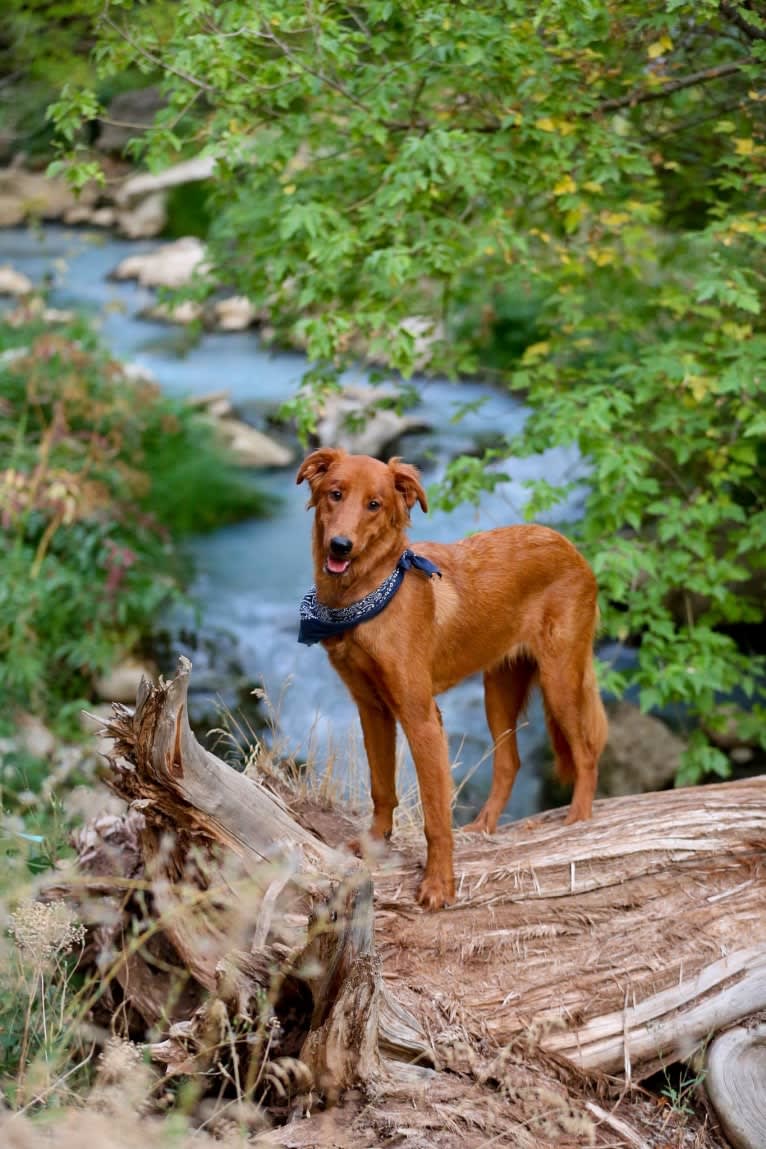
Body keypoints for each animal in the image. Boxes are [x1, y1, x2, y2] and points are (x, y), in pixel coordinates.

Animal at [296, 448, 606, 905]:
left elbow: (435, 814)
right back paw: (484, 827)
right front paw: (374, 845)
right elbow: (381, 787)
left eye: (375, 505)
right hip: (499, 688)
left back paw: (578, 820)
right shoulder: (372, 708)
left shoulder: (421, 716)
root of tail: (571, 548)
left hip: (560, 678)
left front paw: (438, 884)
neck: (366, 598)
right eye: (335, 494)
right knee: (509, 763)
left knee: (585, 752)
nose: (340, 545)